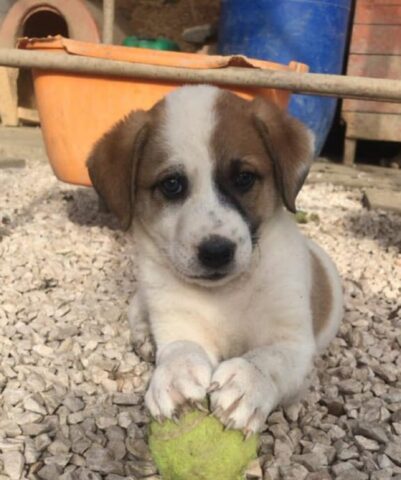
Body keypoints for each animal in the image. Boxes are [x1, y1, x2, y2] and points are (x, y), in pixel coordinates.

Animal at [86, 85, 340, 436]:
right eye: (172, 184)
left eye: (244, 178)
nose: (216, 252)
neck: (225, 295)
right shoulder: (179, 323)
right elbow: (180, 349)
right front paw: (174, 377)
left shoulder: (292, 342)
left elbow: (268, 360)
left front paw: (246, 382)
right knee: (137, 309)